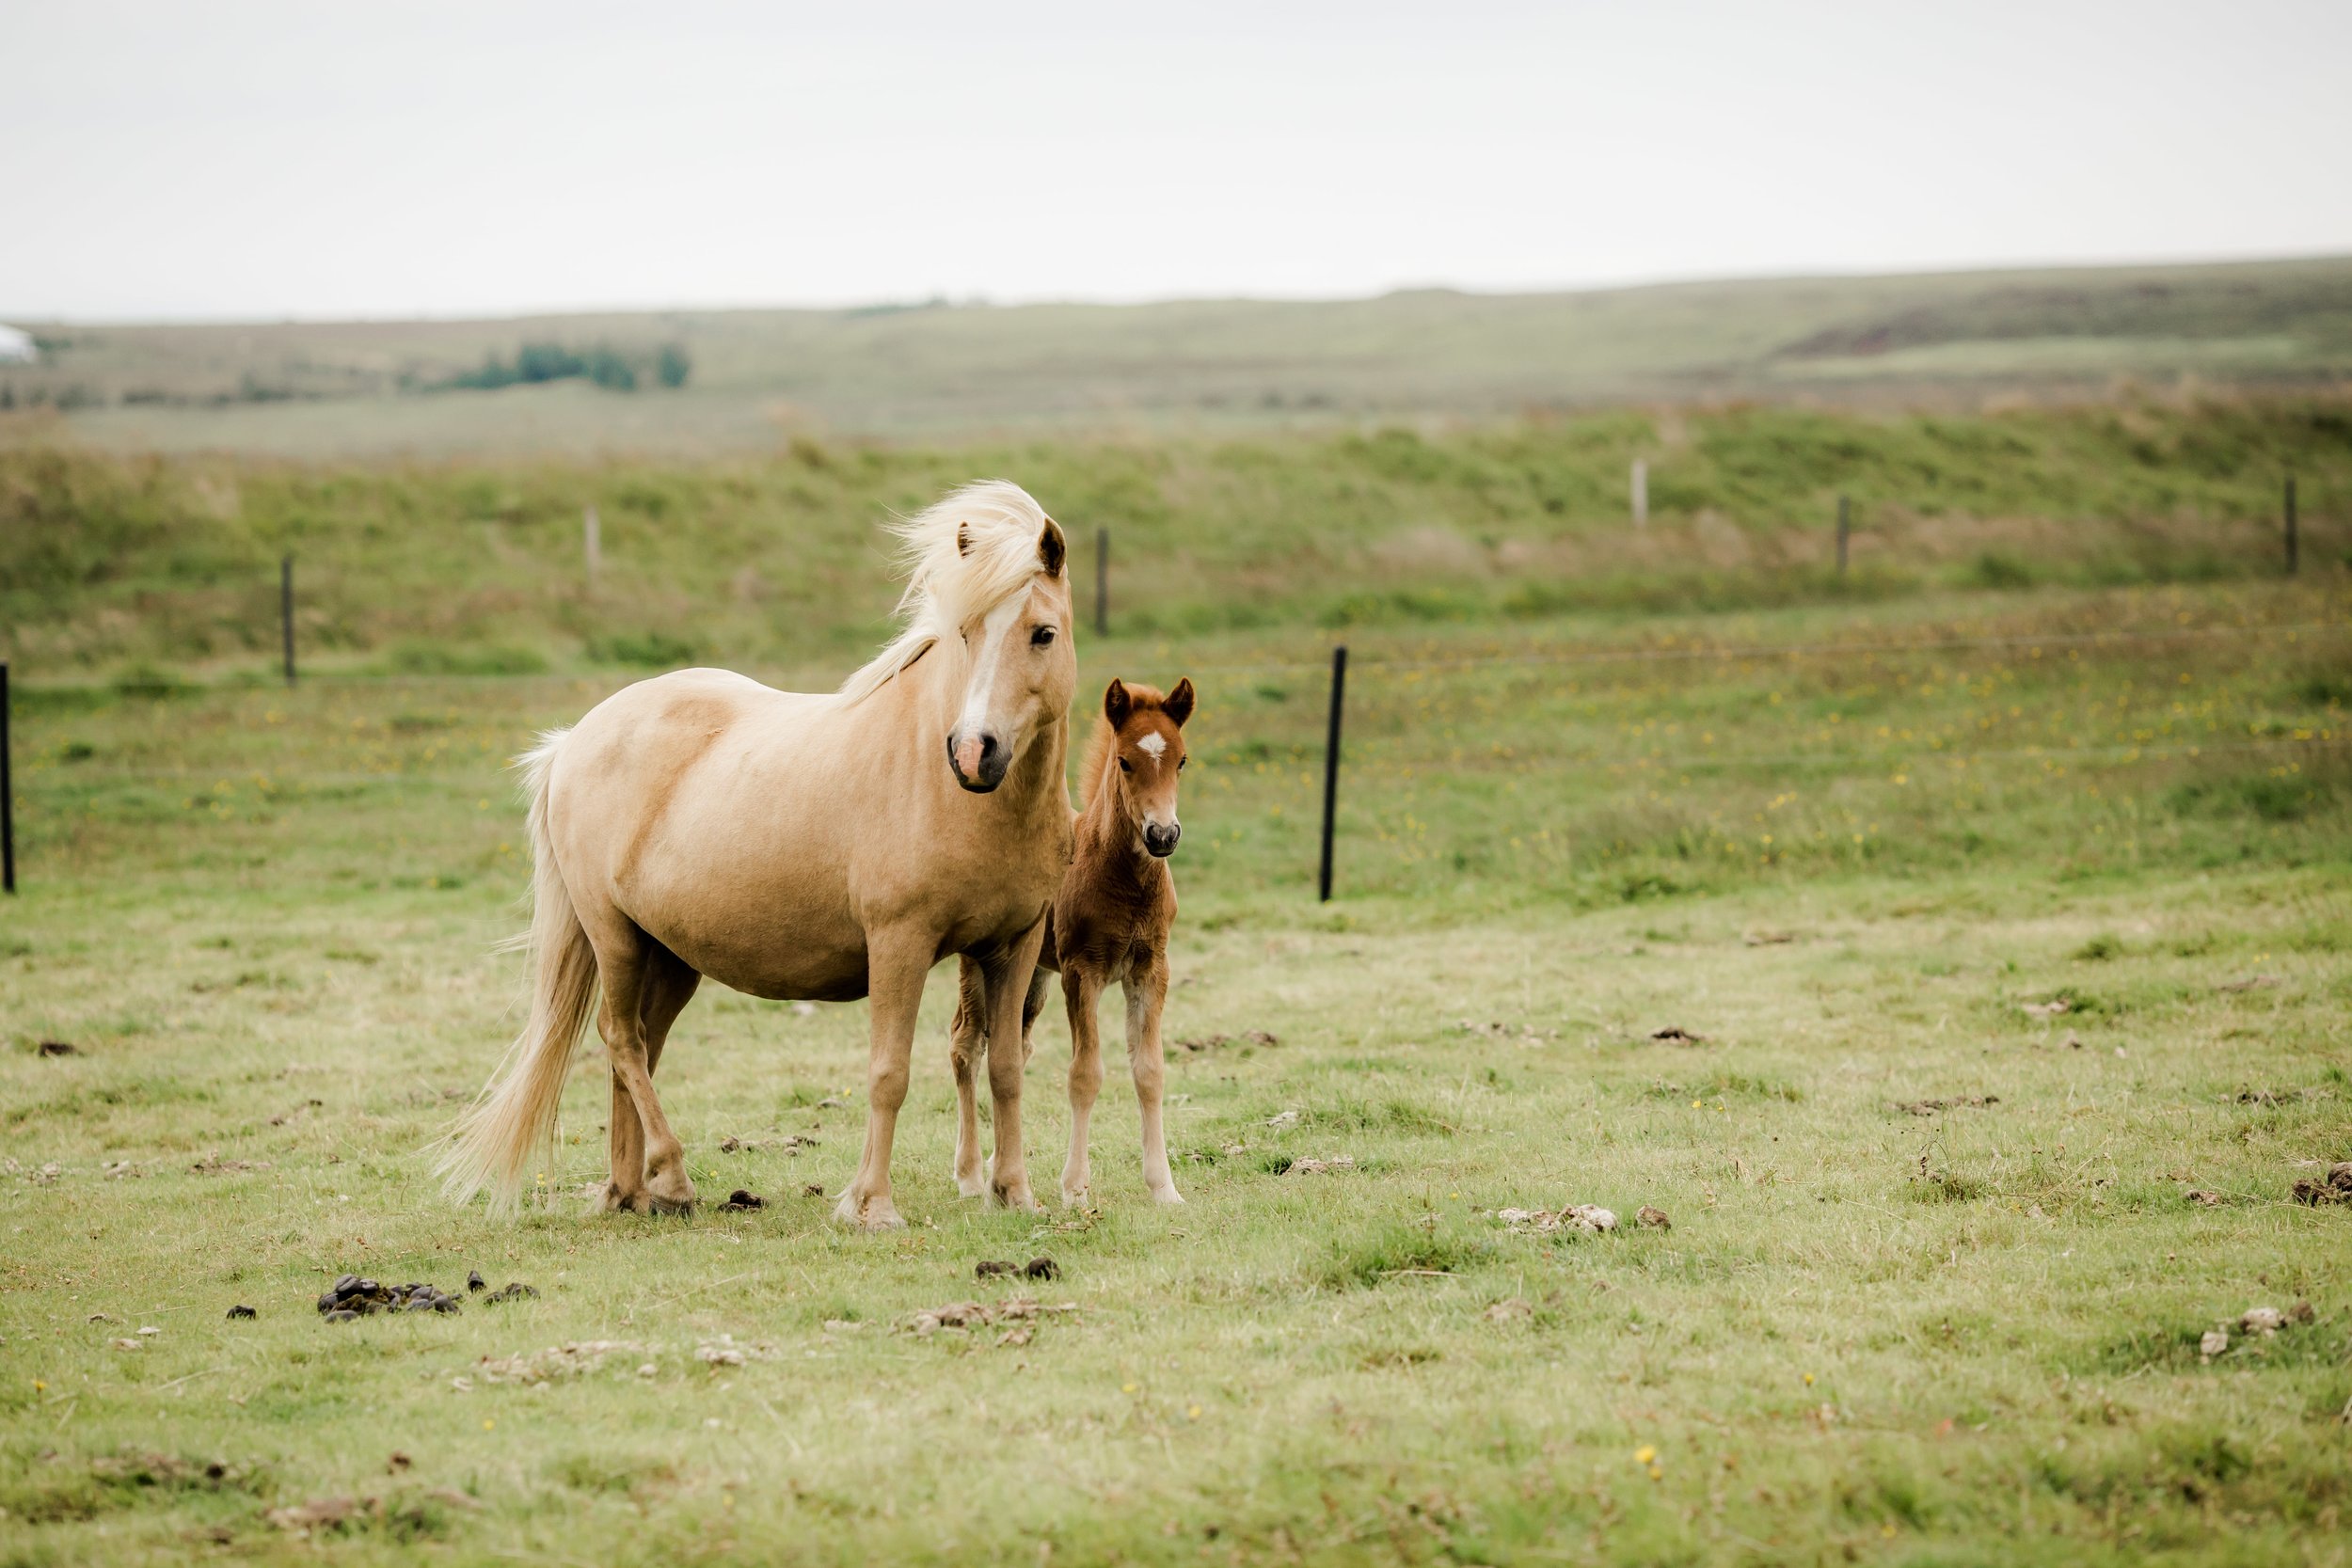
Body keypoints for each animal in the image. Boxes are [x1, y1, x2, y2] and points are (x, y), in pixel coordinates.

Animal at [439, 479, 1077, 1222]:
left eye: (1042, 633)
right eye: (966, 633)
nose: (974, 752)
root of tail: (574, 739)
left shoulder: (1014, 948)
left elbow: (1005, 1068)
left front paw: (1016, 1194)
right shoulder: (901, 943)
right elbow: (888, 1073)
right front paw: (872, 1206)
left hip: (670, 958)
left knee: (642, 1047)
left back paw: (631, 1191)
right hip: (614, 938)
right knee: (621, 1039)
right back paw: (672, 1175)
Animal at [946, 681, 1195, 1212]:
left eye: (1182, 759)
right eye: (1124, 761)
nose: (1162, 834)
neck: (1123, 880)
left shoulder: (1151, 970)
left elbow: (1150, 1072)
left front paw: (1164, 1187)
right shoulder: (1083, 972)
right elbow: (1085, 1074)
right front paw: (1076, 1188)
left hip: (1034, 974)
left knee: (1014, 1045)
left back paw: (997, 1167)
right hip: (976, 963)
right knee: (965, 1045)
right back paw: (971, 1175)